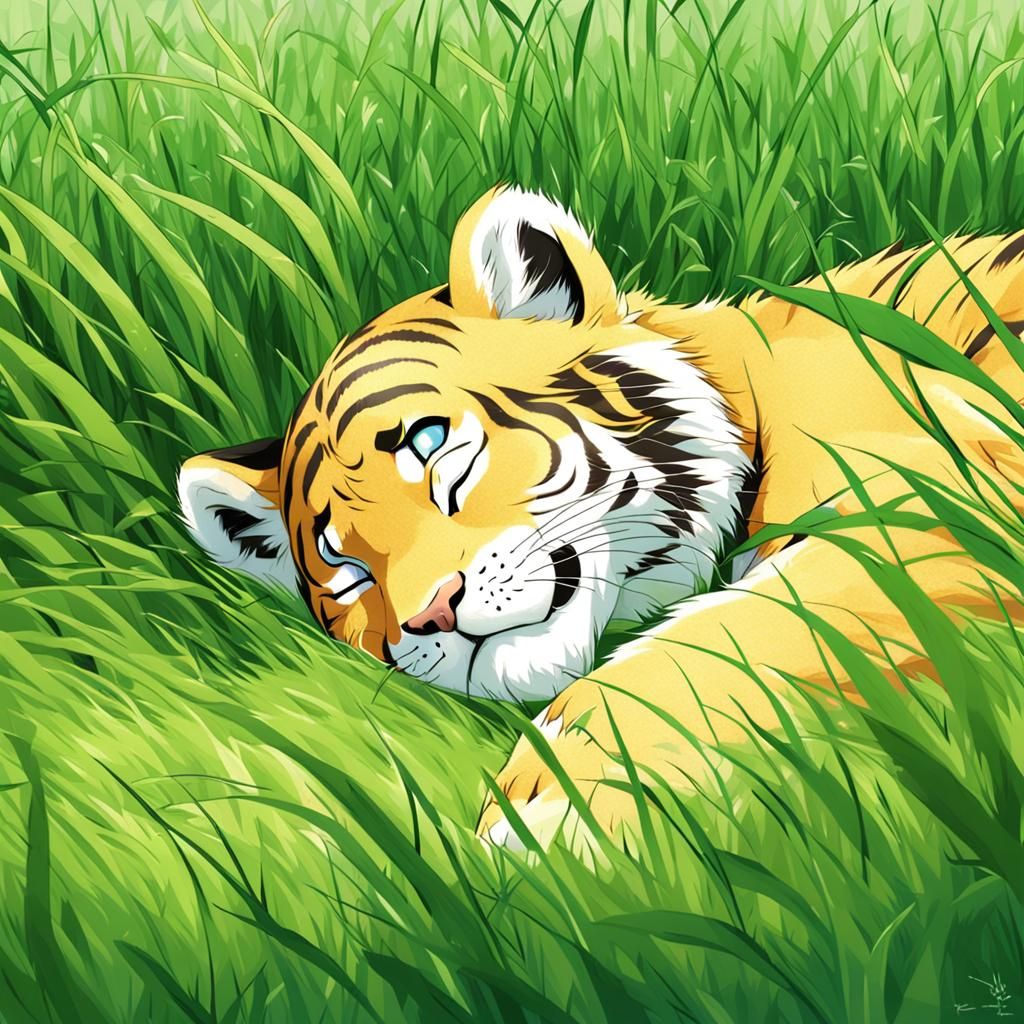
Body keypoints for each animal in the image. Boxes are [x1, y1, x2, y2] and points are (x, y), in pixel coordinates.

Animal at [178, 185, 1024, 851]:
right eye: (350, 574)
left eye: (431, 446)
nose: (430, 617)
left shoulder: (953, 497)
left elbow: (755, 624)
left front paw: (552, 805)